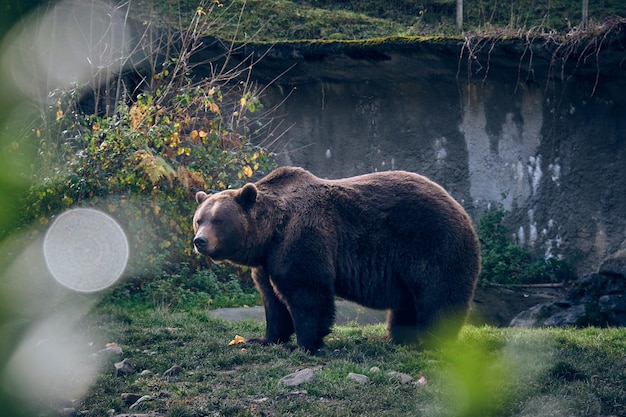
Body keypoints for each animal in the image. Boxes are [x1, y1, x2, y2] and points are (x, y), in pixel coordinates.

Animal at [193, 166, 480, 352]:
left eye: (218, 220)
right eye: (199, 219)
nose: (199, 241)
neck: (271, 232)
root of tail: (459, 207)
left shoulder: (302, 239)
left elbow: (306, 292)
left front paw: (306, 343)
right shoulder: (267, 261)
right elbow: (272, 300)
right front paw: (265, 339)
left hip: (431, 241)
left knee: (438, 294)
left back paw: (433, 341)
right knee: (407, 303)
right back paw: (398, 337)